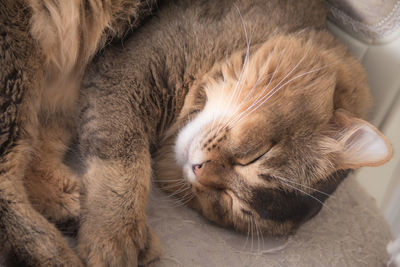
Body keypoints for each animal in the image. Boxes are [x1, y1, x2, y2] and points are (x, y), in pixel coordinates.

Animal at [0, 1, 156, 266]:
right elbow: (125, 148)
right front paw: (113, 232)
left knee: (34, 155)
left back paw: (73, 203)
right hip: (17, 54)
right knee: (7, 178)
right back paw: (60, 254)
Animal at [76, 0, 394, 264]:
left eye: (232, 203)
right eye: (256, 156)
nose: (198, 168)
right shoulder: (125, 76)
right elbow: (123, 165)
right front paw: (114, 236)